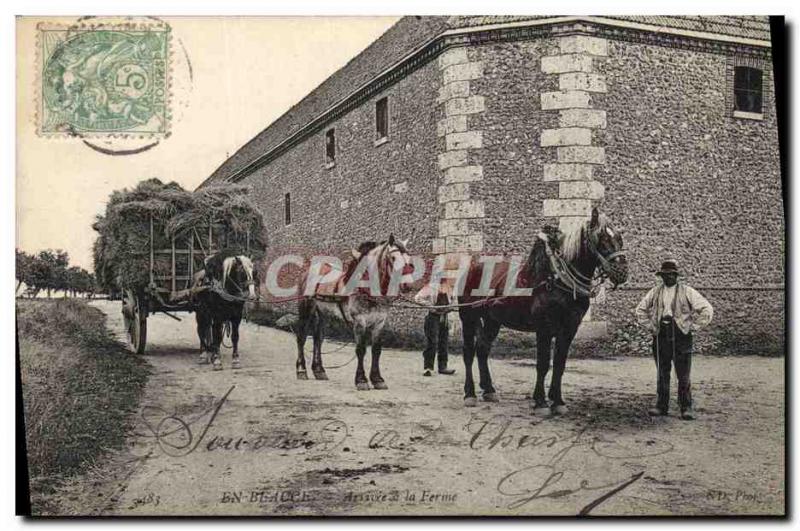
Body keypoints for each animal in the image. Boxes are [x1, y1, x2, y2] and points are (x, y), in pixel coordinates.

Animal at [456, 210, 624, 418]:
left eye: (619, 238)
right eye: (602, 238)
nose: (622, 272)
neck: (556, 279)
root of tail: (472, 266)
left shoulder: (569, 328)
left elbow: (559, 364)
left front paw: (558, 401)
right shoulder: (544, 328)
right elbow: (543, 364)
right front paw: (541, 402)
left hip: (492, 320)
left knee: (482, 349)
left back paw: (489, 390)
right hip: (468, 317)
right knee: (468, 352)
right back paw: (469, 394)